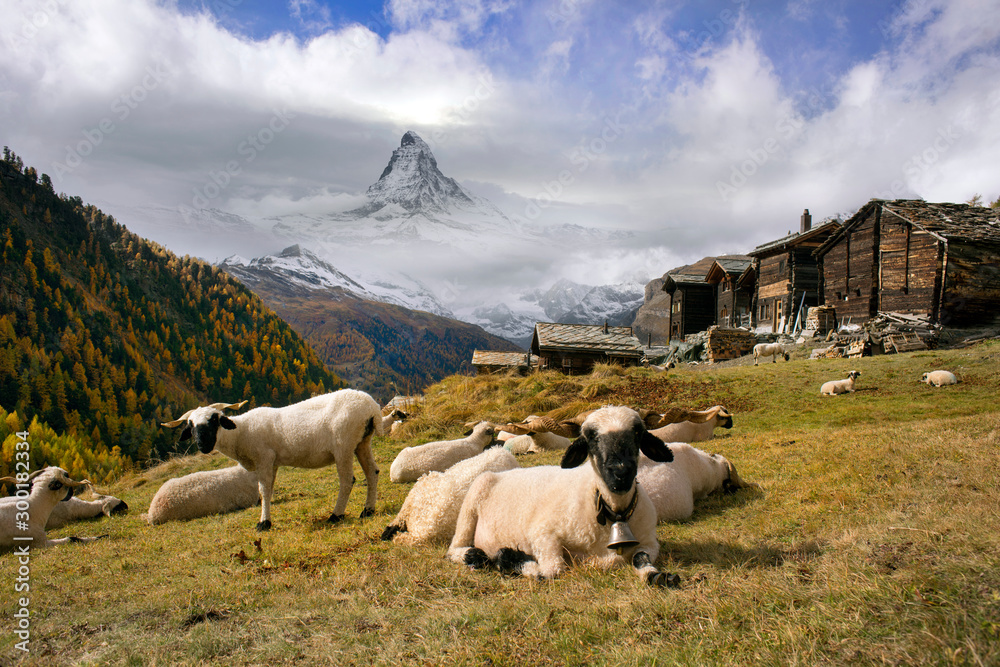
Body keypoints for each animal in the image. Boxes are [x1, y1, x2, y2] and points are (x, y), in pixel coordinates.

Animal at [161, 389, 384, 531]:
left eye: (214, 419)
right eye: (191, 425)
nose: (203, 446)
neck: (241, 433)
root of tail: (371, 407)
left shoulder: (264, 459)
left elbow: (264, 490)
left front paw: (264, 523)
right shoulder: (273, 463)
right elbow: (269, 490)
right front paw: (265, 517)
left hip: (343, 445)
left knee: (347, 480)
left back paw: (336, 515)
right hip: (362, 442)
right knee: (372, 472)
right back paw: (368, 510)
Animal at [447, 406, 680, 587]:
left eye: (638, 432)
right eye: (590, 436)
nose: (621, 472)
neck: (611, 510)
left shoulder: (650, 542)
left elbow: (641, 557)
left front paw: (659, 576)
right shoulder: (542, 534)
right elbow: (551, 571)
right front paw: (507, 556)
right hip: (471, 504)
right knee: (453, 549)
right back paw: (474, 555)